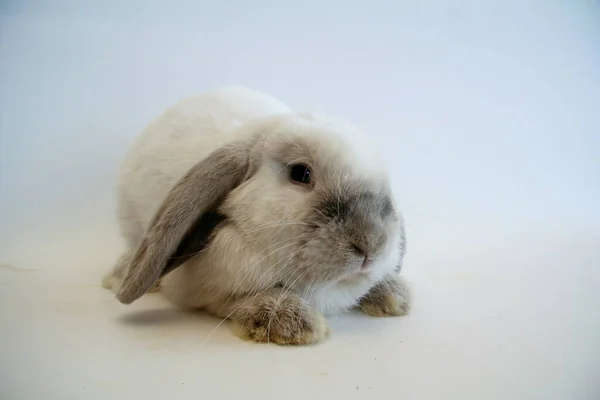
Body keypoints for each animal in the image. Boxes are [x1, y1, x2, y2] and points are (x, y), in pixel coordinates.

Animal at [104, 86, 412, 346]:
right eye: (300, 173)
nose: (371, 244)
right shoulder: (205, 290)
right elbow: (242, 298)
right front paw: (293, 323)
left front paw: (395, 298)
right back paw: (119, 275)